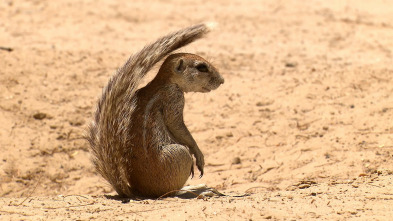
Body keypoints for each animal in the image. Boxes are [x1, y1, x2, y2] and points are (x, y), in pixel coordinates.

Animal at [87, 23, 225, 198]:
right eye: (202, 67)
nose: (222, 80)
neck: (164, 82)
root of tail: (136, 191)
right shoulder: (174, 100)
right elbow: (178, 127)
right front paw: (199, 154)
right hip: (180, 154)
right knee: (170, 193)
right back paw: (197, 190)